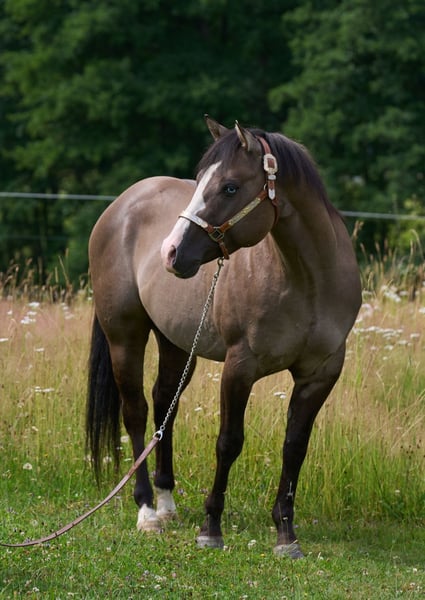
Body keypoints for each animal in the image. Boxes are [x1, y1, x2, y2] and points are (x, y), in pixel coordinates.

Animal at [87, 116, 361, 558]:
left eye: (230, 187)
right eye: (199, 180)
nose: (170, 252)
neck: (308, 281)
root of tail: (122, 204)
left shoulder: (320, 374)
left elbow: (295, 447)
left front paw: (286, 534)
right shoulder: (239, 368)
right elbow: (229, 442)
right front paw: (210, 528)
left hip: (177, 343)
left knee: (165, 404)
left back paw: (166, 503)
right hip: (124, 336)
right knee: (137, 412)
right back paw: (147, 512)